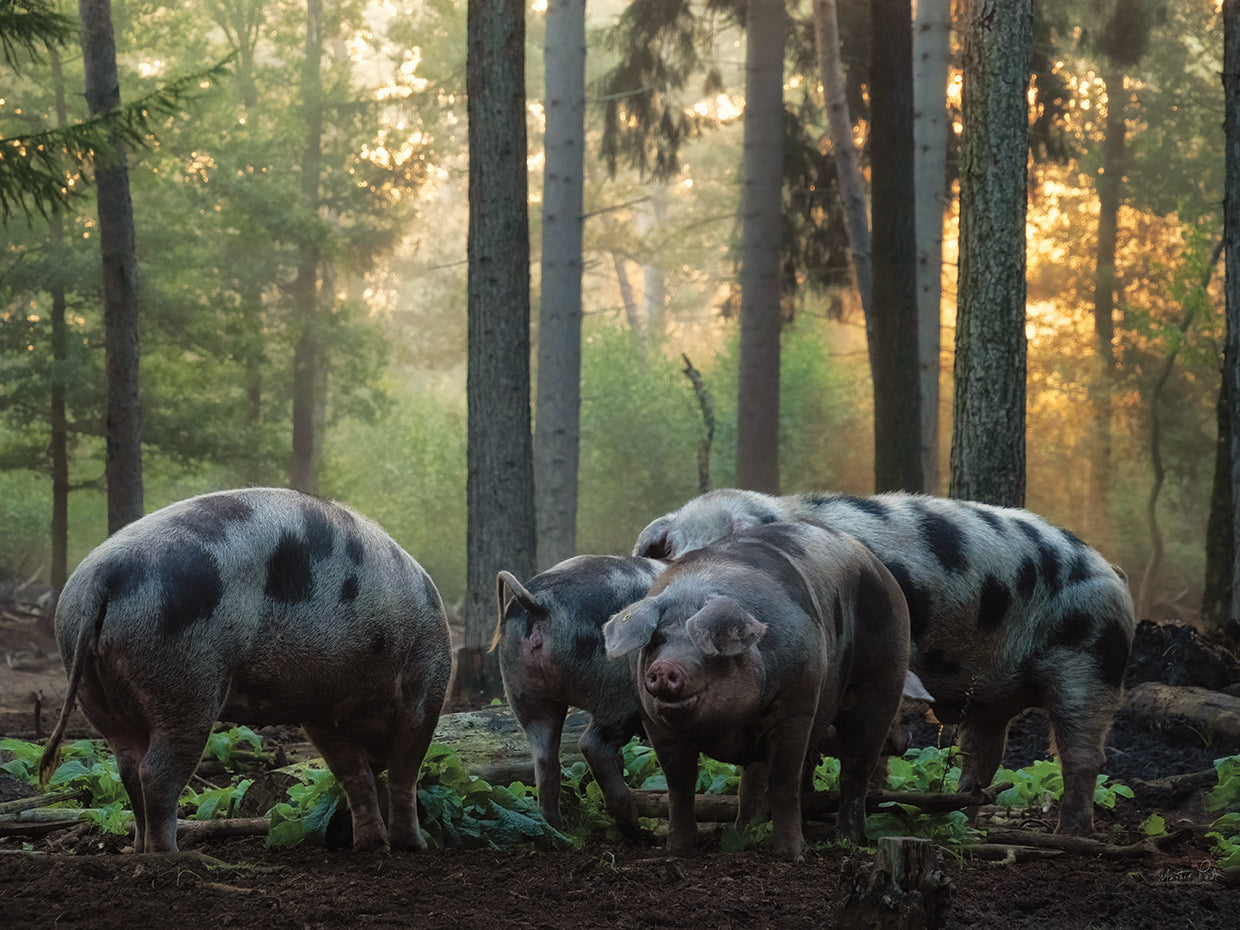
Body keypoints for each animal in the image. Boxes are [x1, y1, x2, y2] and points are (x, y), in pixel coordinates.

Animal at [39, 488, 452, 854]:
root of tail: (103, 576)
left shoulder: (321, 714)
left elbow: (356, 779)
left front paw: (372, 848)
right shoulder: (426, 685)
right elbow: (404, 771)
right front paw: (415, 846)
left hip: (97, 691)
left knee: (127, 767)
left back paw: (137, 850)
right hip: (186, 682)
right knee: (156, 773)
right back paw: (171, 855)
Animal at [491, 555, 664, 837]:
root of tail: (540, 603)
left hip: (523, 690)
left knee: (545, 759)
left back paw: (557, 830)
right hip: (618, 694)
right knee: (592, 746)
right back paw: (638, 832)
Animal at [604, 521, 912, 861]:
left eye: (704, 646)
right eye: (658, 640)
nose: (662, 668)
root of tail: (877, 565)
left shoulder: (798, 707)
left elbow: (783, 782)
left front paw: (793, 855)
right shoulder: (655, 723)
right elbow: (680, 785)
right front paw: (678, 850)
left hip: (883, 678)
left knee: (856, 768)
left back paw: (848, 840)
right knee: (753, 781)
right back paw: (742, 833)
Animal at [632, 488, 1136, 836]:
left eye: (733, 544)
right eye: (673, 548)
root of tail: (1111, 569)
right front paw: (752, 826)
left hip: (1090, 663)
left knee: (1082, 755)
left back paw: (1070, 834)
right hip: (992, 697)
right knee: (984, 756)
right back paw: (958, 822)